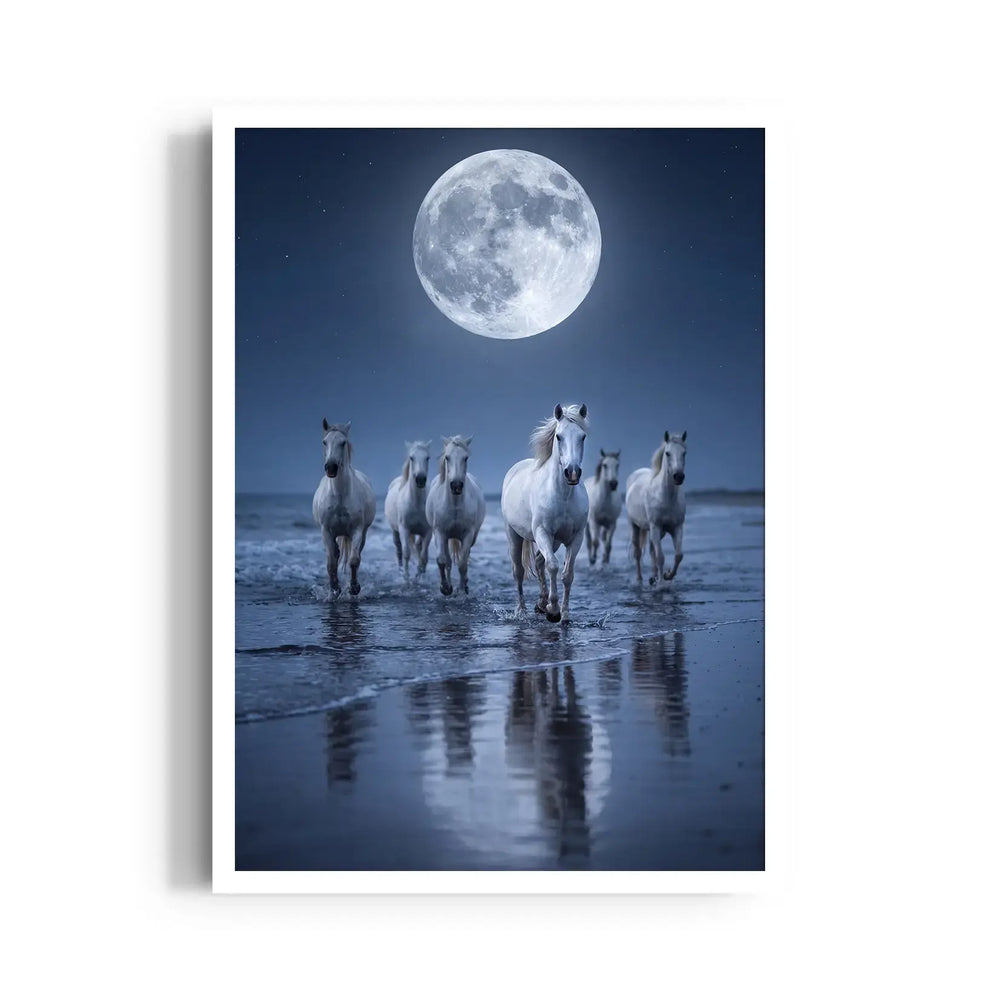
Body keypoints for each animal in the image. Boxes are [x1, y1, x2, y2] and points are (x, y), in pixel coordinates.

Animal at [311, 419, 376, 597]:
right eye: (324, 442)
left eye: (343, 442)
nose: (331, 467)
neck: (340, 496)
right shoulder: (326, 531)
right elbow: (331, 563)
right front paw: (335, 588)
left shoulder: (357, 530)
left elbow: (354, 560)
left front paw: (354, 588)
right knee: (335, 554)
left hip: (361, 534)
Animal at [384, 440, 433, 577]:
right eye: (411, 458)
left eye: (427, 458)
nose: (420, 479)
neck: (416, 503)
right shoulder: (404, 529)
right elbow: (406, 553)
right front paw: (406, 577)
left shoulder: (428, 531)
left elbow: (424, 556)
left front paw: (420, 576)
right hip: (395, 531)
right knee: (399, 549)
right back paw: (401, 570)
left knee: (419, 547)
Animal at [424, 436, 486, 596]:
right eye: (447, 457)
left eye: (466, 458)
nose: (456, 485)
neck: (455, 505)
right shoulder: (440, 533)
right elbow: (441, 560)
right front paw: (445, 588)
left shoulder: (468, 535)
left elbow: (463, 563)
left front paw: (462, 589)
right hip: (446, 537)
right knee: (448, 561)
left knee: (464, 558)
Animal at [501, 403, 589, 623]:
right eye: (559, 436)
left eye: (583, 436)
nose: (572, 473)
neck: (563, 496)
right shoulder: (542, 533)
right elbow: (553, 567)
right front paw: (554, 611)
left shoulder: (576, 537)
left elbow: (567, 574)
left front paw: (564, 615)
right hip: (514, 535)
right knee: (519, 571)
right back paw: (521, 610)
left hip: (555, 541)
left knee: (540, 562)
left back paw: (541, 603)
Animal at [625, 430, 687, 586]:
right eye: (667, 453)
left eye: (684, 452)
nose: (678, 476)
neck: (666, 497)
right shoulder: (656, 527)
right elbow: (660, 557)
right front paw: (662, 584)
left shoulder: (677, 528)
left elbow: (678, 555)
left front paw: (667, 575)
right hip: (636, 526)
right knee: (638, 552)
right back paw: (640, 579)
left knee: (652, 550)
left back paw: (653, 577)